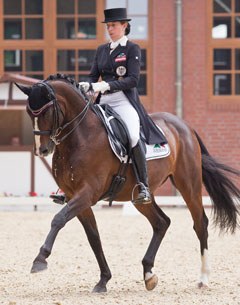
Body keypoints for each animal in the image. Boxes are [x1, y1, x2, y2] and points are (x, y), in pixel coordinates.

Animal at [15, 73, 239, 292]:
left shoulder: (88, 193)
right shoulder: (74, 196)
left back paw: (203, 278)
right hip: (139, 196)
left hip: (188, 184)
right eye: (29, 112)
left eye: (46, 112)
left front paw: (40, 259)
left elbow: (58, 219)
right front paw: (104, 280)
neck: (80, 137)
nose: (42, 150)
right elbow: (93, 237)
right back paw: (149, 274)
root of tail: (184, 125)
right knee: (161, 222)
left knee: (200, 223)